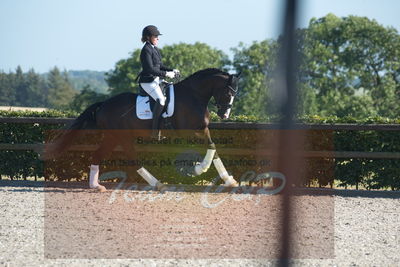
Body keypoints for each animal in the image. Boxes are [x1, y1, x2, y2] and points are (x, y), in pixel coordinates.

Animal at [47, 68, 241, 192]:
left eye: (234, 94)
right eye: (228, 93)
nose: (224, 115)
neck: (193, 96)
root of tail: (104, 104)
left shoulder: (203, 129)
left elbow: (213, 148)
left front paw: (229, 180)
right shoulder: (190, 132)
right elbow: (208, 149)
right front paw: (198, 169)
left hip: (112, 137)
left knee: (97, 155)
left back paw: (96, 186)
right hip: (121, 137)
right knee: (133, 160)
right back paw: (158, 184)